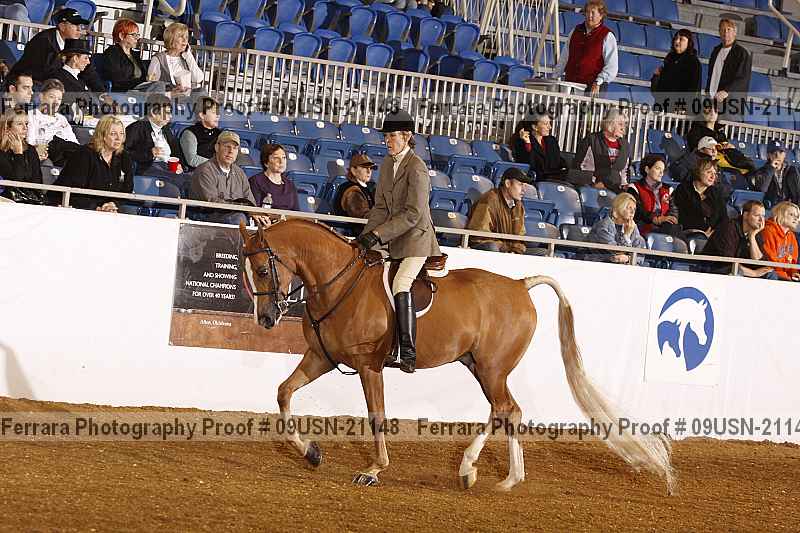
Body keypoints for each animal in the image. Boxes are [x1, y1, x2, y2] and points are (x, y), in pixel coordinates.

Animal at [239, 218, 676, 493]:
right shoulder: (322, 357)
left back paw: (474, 469)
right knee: (509, 410)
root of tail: (520, 285)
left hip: (492, 368)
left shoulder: (368, 366)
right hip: (481, 367)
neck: (340, 284)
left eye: (261, 270)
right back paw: (500, 476)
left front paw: (374, 470)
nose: (266, 318)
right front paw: (311, 452)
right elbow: (283, 392)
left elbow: (377, 415)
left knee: (504, 408)